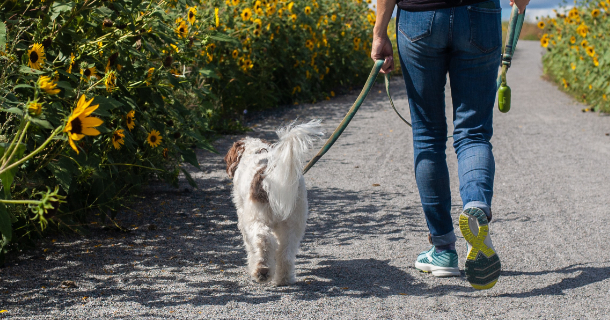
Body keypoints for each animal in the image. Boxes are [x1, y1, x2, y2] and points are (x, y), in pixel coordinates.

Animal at [223, 120, 324, 284]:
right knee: (286, 252)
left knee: (263, 240)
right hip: (294, 222)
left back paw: (262, 270)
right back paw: (284, 279)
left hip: (257, 219)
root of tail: (270, 175)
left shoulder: (243, 218)